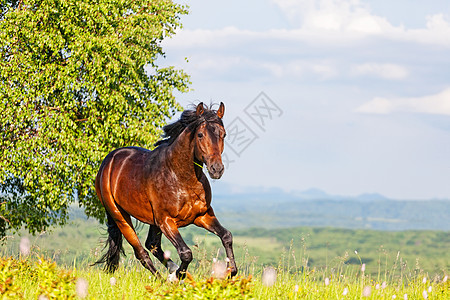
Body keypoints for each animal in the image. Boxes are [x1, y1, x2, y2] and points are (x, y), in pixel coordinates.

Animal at [93, 102, 237, 278]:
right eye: (200, 134)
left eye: (223, 134)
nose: (216, 169)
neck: (181, 177)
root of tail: (108, 161)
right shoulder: (166, 221)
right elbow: (186, 253)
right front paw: (180, 275)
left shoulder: (202, 215)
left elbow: (226, 236)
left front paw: (231, 271)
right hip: (119, 216)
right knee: (141, 253)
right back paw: (165, 278)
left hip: (152, 221)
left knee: (152, 245)